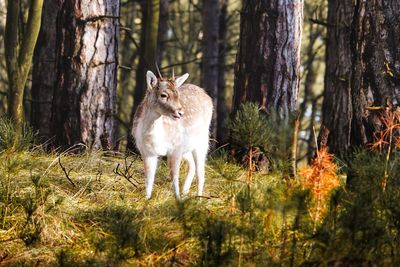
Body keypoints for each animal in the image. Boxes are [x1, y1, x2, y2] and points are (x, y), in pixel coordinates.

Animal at [132, 70, 214, 200]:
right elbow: (149, 178)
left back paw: (199, 200)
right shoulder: (146, 152)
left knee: (201, 173)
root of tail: (205, 93)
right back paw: (185, 192)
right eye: (163, 95)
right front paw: (147, 199)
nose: (180, 112)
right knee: (192, 166)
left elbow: (174, 177)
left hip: (202, 141)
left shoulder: (175, 148)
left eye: (177, 95)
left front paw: (178, 200)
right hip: (186, 148)